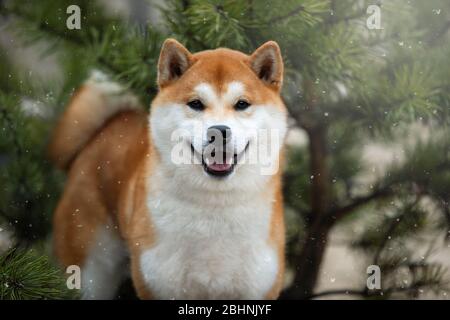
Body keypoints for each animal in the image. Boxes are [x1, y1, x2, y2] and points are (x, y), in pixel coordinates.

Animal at [50, 38, 288, 298]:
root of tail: (105, 129)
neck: (214, 205)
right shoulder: (158, 284)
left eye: (242, 104)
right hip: (90, 269)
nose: (218, 131)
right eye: (196, 104)